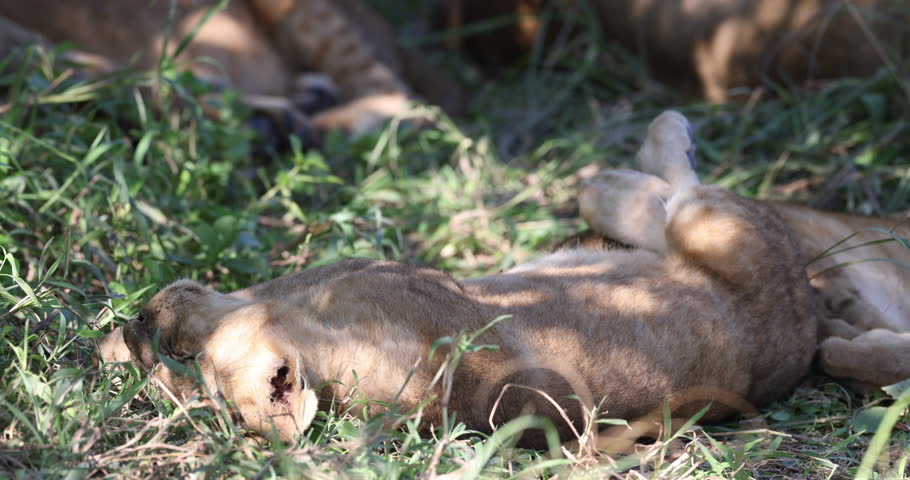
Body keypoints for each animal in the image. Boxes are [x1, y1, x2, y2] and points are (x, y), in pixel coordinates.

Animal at [99, 111, 819, 446]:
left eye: (183, 354)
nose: (142, 320)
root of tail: (807, 325)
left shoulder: (350, 273)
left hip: (720, 229)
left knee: (684, 195)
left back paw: (617, 170)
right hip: (716, 236)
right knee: (673, 202)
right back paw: (609, 180)